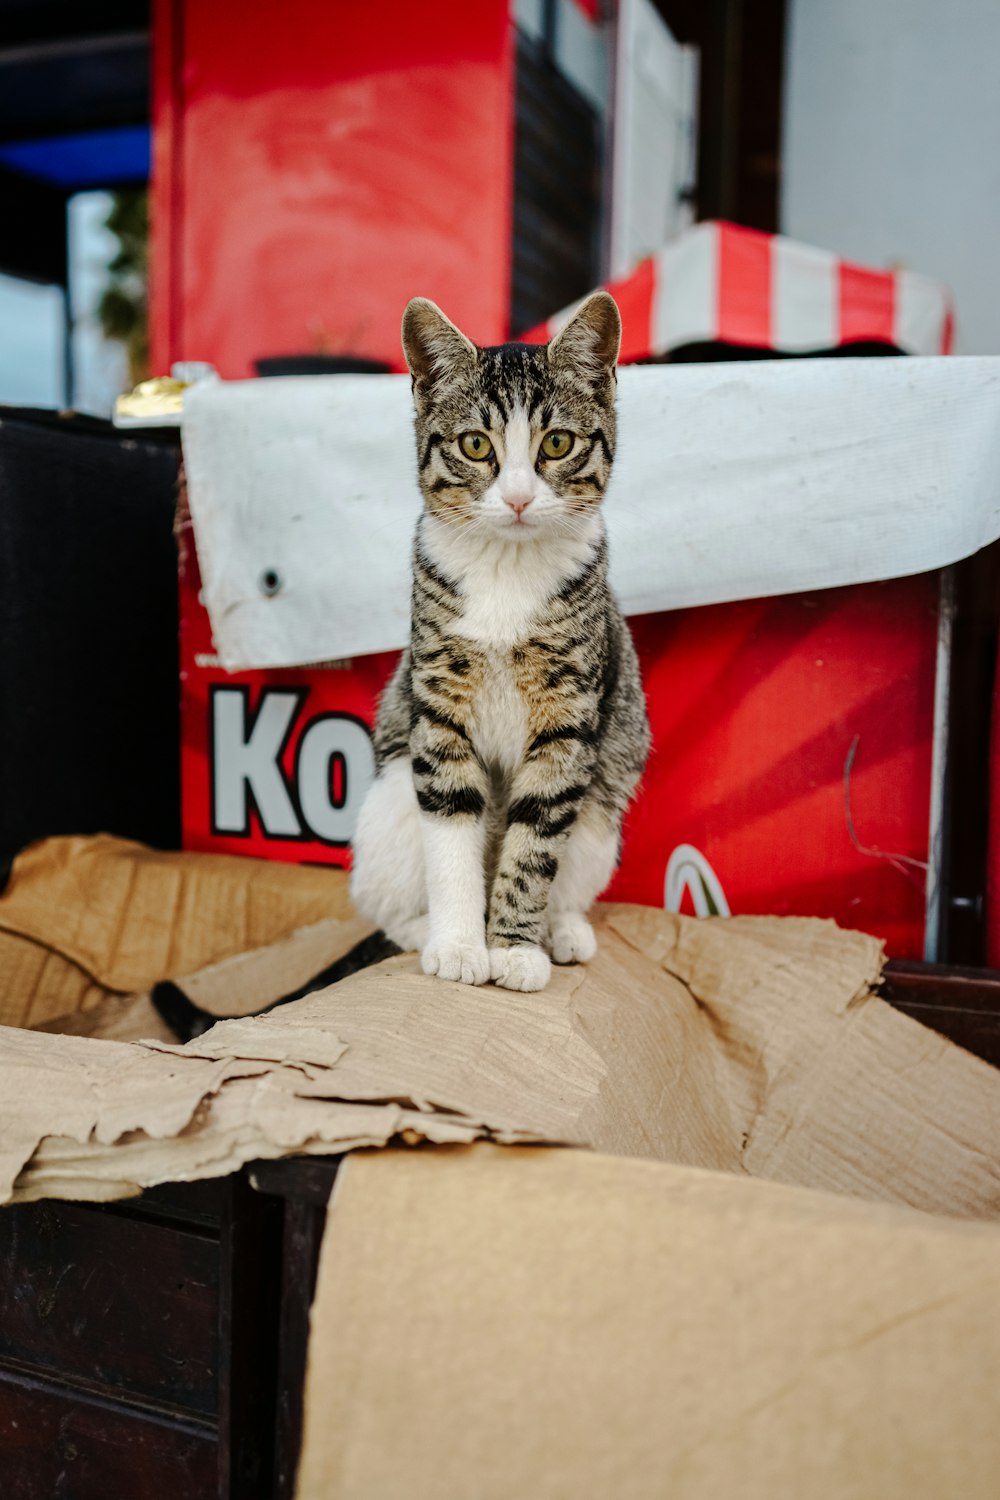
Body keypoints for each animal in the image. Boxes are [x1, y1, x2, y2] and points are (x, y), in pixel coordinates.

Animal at [350, 292, 650, 996]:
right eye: (475, 444)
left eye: (558, 443)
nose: (515, 497)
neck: (506, 572)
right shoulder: (438, 704)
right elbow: (452, 819)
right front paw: (461, 946)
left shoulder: (570, 719)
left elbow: (535, 838)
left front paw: (513, 949)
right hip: (390, 800)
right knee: (381, 899)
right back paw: (419, 931)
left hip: (602, 807)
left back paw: (562, 931)